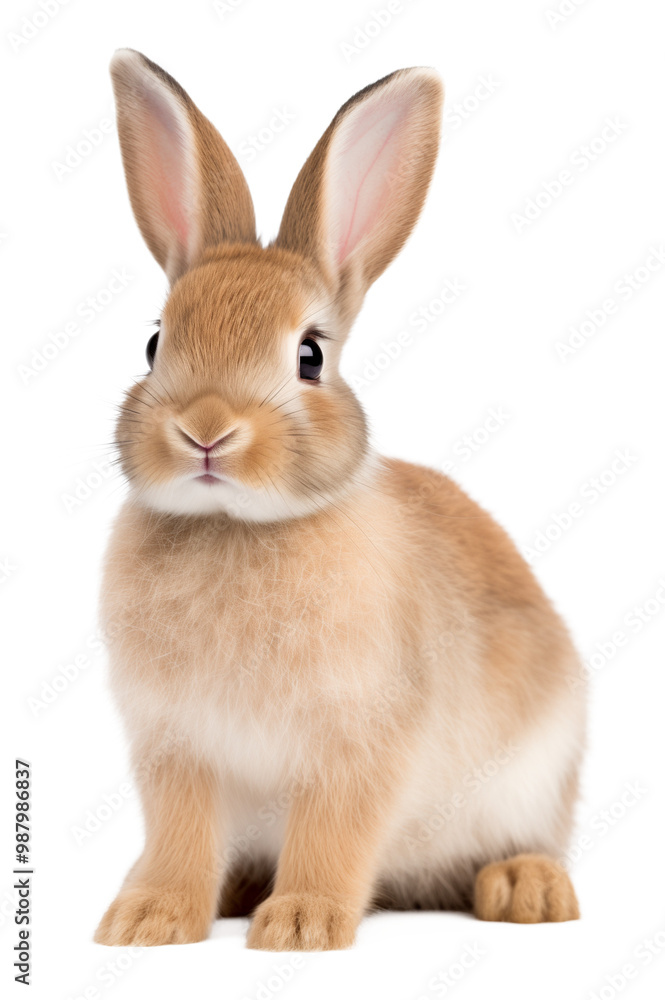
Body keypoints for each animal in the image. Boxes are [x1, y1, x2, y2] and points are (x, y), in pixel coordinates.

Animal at [94, 49, 585, 952]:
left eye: (310, 356)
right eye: (154, 343)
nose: (206, 430)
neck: (236, 529)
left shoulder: (358, 745)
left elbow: (333, 831)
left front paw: (302, 924)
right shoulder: (177, 749)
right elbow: (179, 837)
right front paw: (148, 919)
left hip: (535, 772)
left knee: (520, 843)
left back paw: (525, 890)